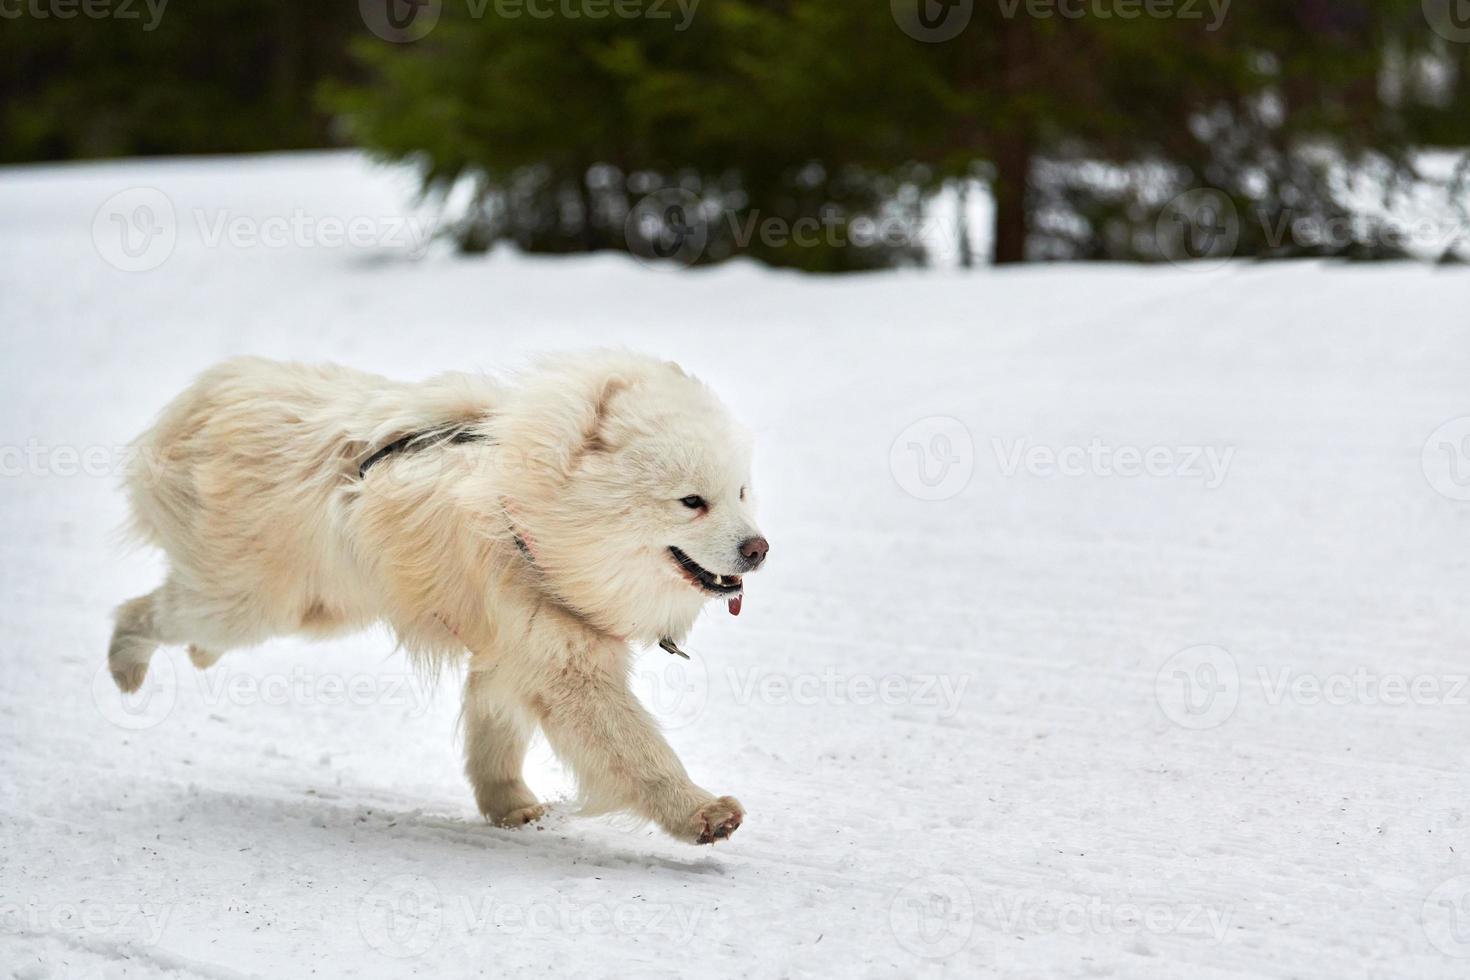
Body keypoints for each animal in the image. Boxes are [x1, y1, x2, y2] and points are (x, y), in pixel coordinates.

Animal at [108, 351, 770, 846]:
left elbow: (494, 734)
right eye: (691, 501)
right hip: (250, 604)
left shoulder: (515, 648)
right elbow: (637, 748)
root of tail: (213, 394)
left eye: (740, 492)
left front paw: (510, 806)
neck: (528, 520)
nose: (759, 549)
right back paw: (126, 665)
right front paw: (704, 813)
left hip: (316, 606)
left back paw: (189, 658)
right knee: (148, 611)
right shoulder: (564, 664)